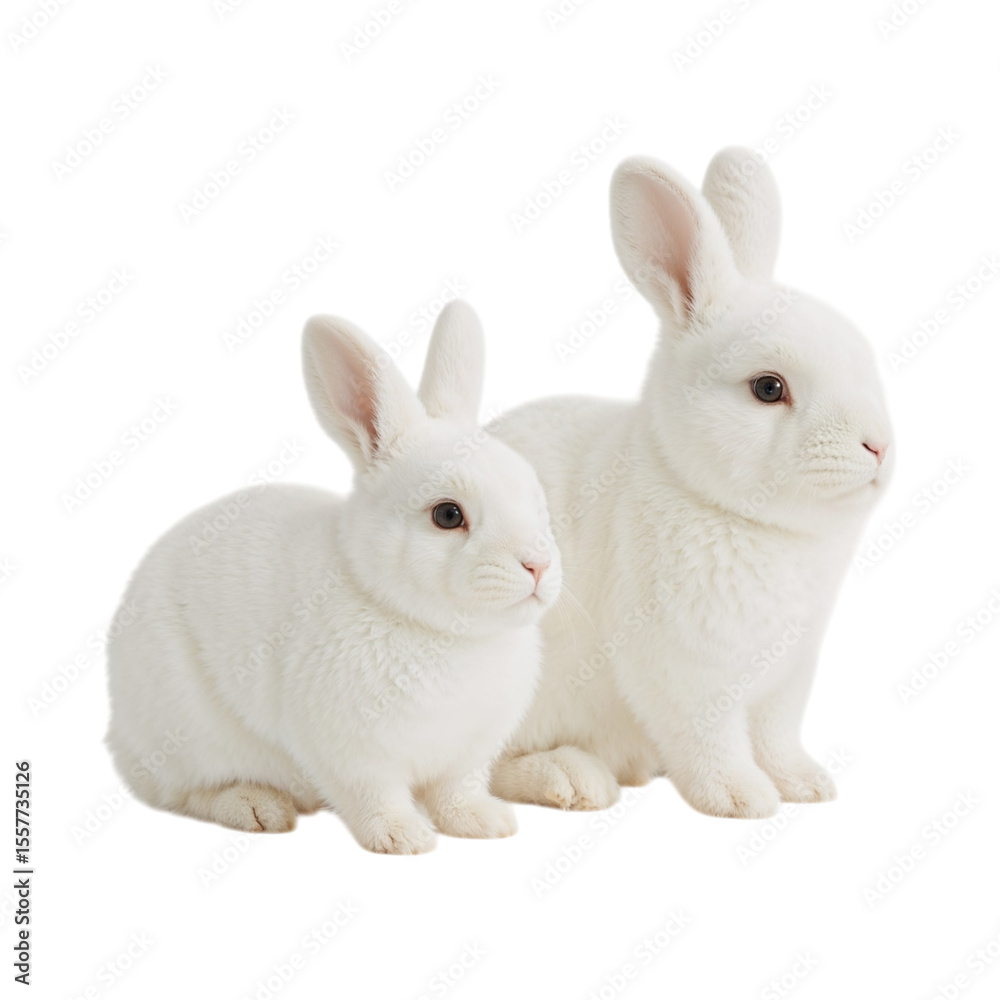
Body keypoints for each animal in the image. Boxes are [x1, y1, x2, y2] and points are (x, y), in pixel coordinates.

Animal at [105, 300, 562, 853]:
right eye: (448, 515)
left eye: (535, 498)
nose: (537, 565)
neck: (440, 631)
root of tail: (120, 736)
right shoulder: (354, 753)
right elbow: (375, 797)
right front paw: (403, 838)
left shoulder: (467, 755)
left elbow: (458, 791)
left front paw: (485, 823)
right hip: (190, 737)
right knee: (184, 792)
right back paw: (257, 808)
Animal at [489, 147, 893, 819]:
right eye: (768, 388)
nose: (879, 447)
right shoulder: (688, 673)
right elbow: (711, 741)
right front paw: (742, 799)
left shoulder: (786, 679)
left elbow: (777, 737)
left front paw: (807, 785)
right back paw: (574, 779)